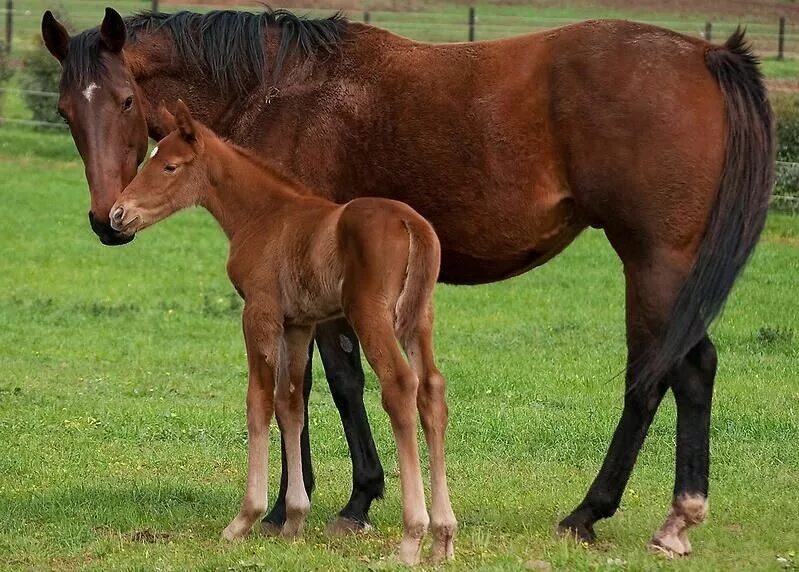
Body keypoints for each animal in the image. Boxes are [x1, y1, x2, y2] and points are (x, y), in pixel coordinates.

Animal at [108, 101, 456, 564]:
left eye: (169, 166)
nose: (118, 215)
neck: (264, 216)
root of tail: (409, 223)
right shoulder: (298, 324)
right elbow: (290, 403)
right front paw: (292, 519)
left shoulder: (260, 311)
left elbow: (258, 401)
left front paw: (245, 519)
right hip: (418, 317)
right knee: (431, 389)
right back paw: (443, 537)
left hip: (371, 315)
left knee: (400, 386)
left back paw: (411, 537)